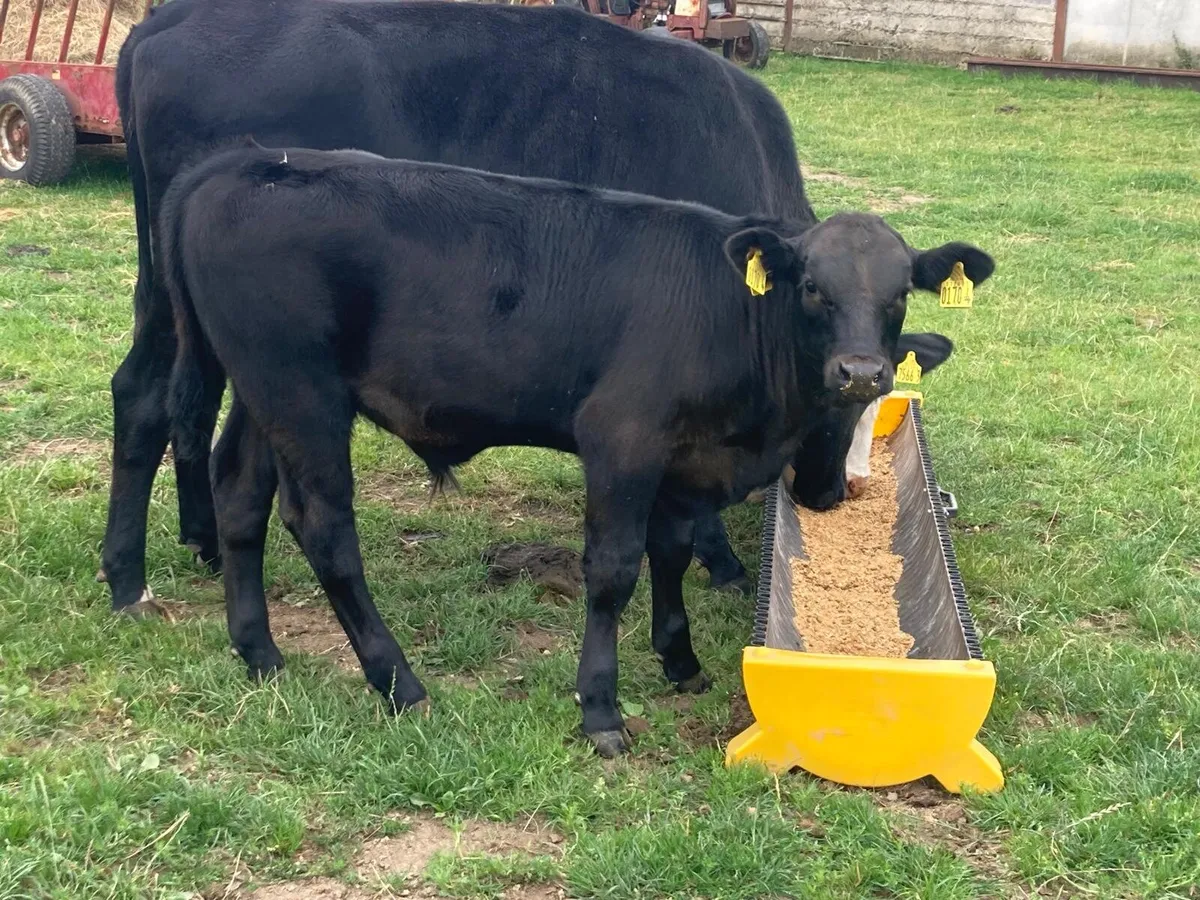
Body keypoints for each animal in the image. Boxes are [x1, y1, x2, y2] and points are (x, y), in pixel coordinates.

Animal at [106, 0, 924, 613]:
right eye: (844, 396)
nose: (842, 490)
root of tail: (171, 19)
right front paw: (717, 559)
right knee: (167, 401)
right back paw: (148, 573)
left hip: (177, 303)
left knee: (158, 395)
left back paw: (166, 556)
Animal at [162, 144, 994, 755]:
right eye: (813, 287)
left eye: (899, 293)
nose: (860, 370)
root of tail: (246, 160)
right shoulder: (620, 441)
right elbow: (614, 571)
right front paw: (601, 708)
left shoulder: (680, 461)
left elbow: (671, 553)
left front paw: (680, 661)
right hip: (301, 393)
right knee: (324, 529)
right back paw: (398, 681)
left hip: (261, 394)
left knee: (240, 496)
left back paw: (259, 652)